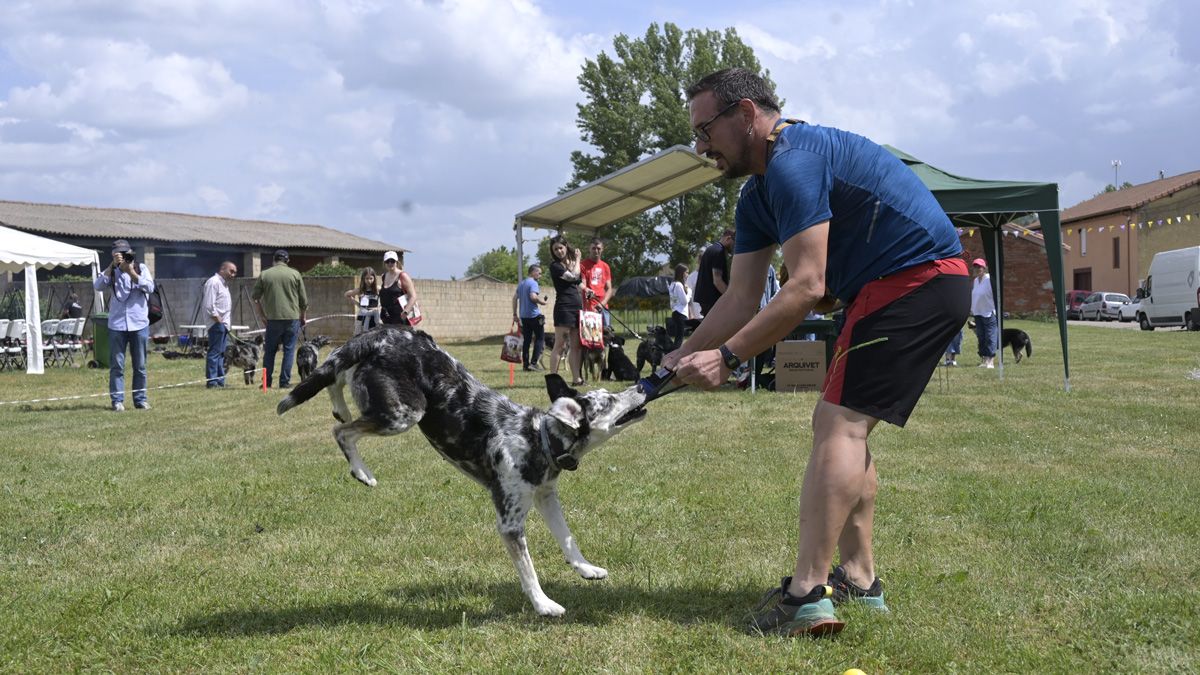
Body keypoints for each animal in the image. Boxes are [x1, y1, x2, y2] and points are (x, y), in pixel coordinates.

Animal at [274, 326, 648, 614]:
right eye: (609, 402)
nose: (641, 387)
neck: (537, 437)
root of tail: (379, 333)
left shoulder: (546, 497)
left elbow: (568, 539)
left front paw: (586, 569)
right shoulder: (510, 524)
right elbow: (529, 572)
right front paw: (544, 605)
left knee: (335, 380)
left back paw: (339, 407)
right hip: (405, 413)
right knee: (341, 430)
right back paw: (361, 471)